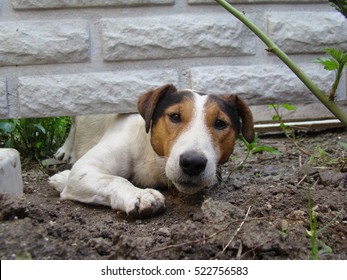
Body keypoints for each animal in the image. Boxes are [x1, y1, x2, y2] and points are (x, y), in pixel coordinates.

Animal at [49, 83, 256, 219]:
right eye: (175, 116)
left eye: (220, 123)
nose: (193, 163)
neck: (153, 158)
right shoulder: (84, 169)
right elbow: (115, 179)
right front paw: (139, 195)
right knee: (74, 124)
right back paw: (65, 151)